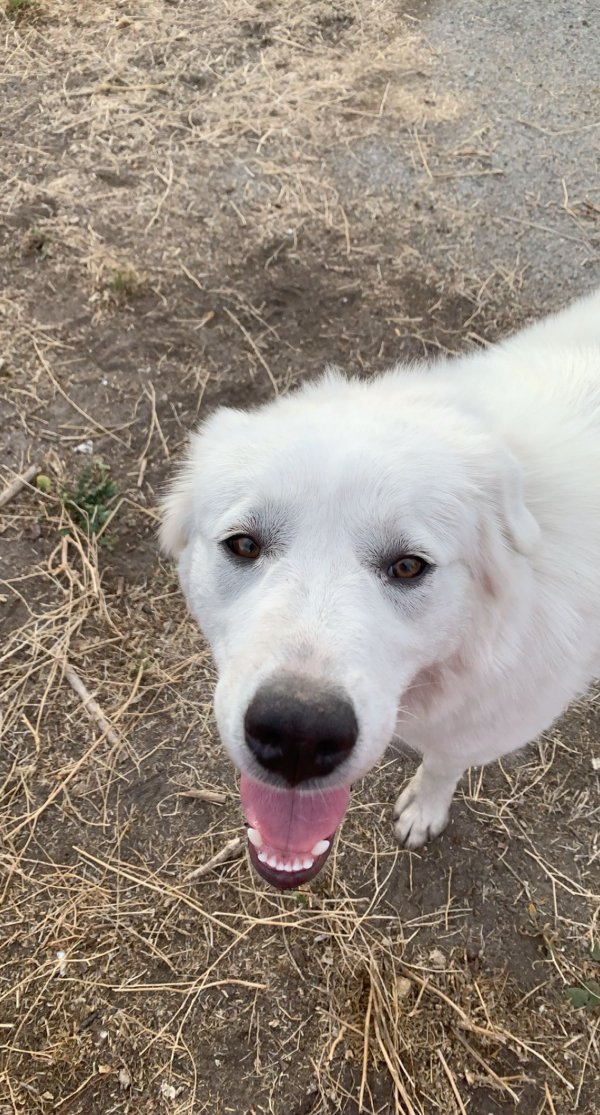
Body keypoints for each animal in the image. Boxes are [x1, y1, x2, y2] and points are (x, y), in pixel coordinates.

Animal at [160, 287, 597, 887]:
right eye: (244, 545)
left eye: (409, 567)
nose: (298, 734)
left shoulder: (487, 721)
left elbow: (445, 759)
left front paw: (425, 808)